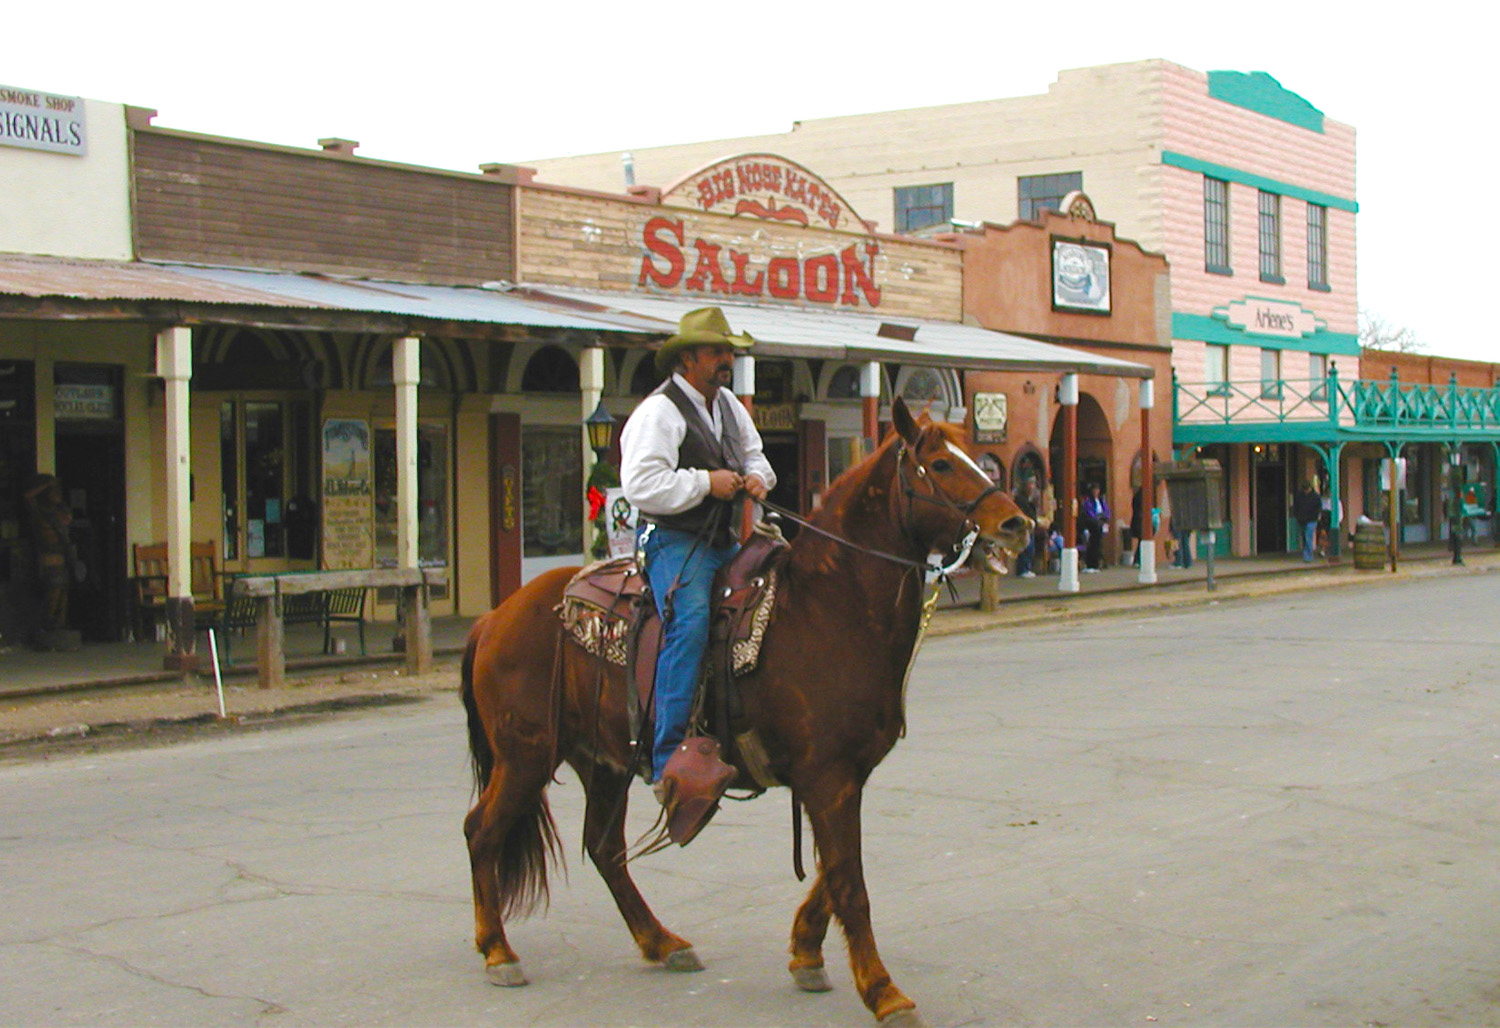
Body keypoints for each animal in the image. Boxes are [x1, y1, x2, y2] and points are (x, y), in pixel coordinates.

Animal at [462, 396, 1032, 1020]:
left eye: (975, 455)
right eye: (941, 464)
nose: (1017, 525)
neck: (828, 608)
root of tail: (496, 617)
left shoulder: (842, 776)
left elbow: (832, 873)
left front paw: (806, 951)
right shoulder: (829, 777)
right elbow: (850, 882)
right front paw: (883, 991)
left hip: (603, 760)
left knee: (604, 848)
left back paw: (661, 942)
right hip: (526, 756)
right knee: (482, 832)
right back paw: (498, 951)